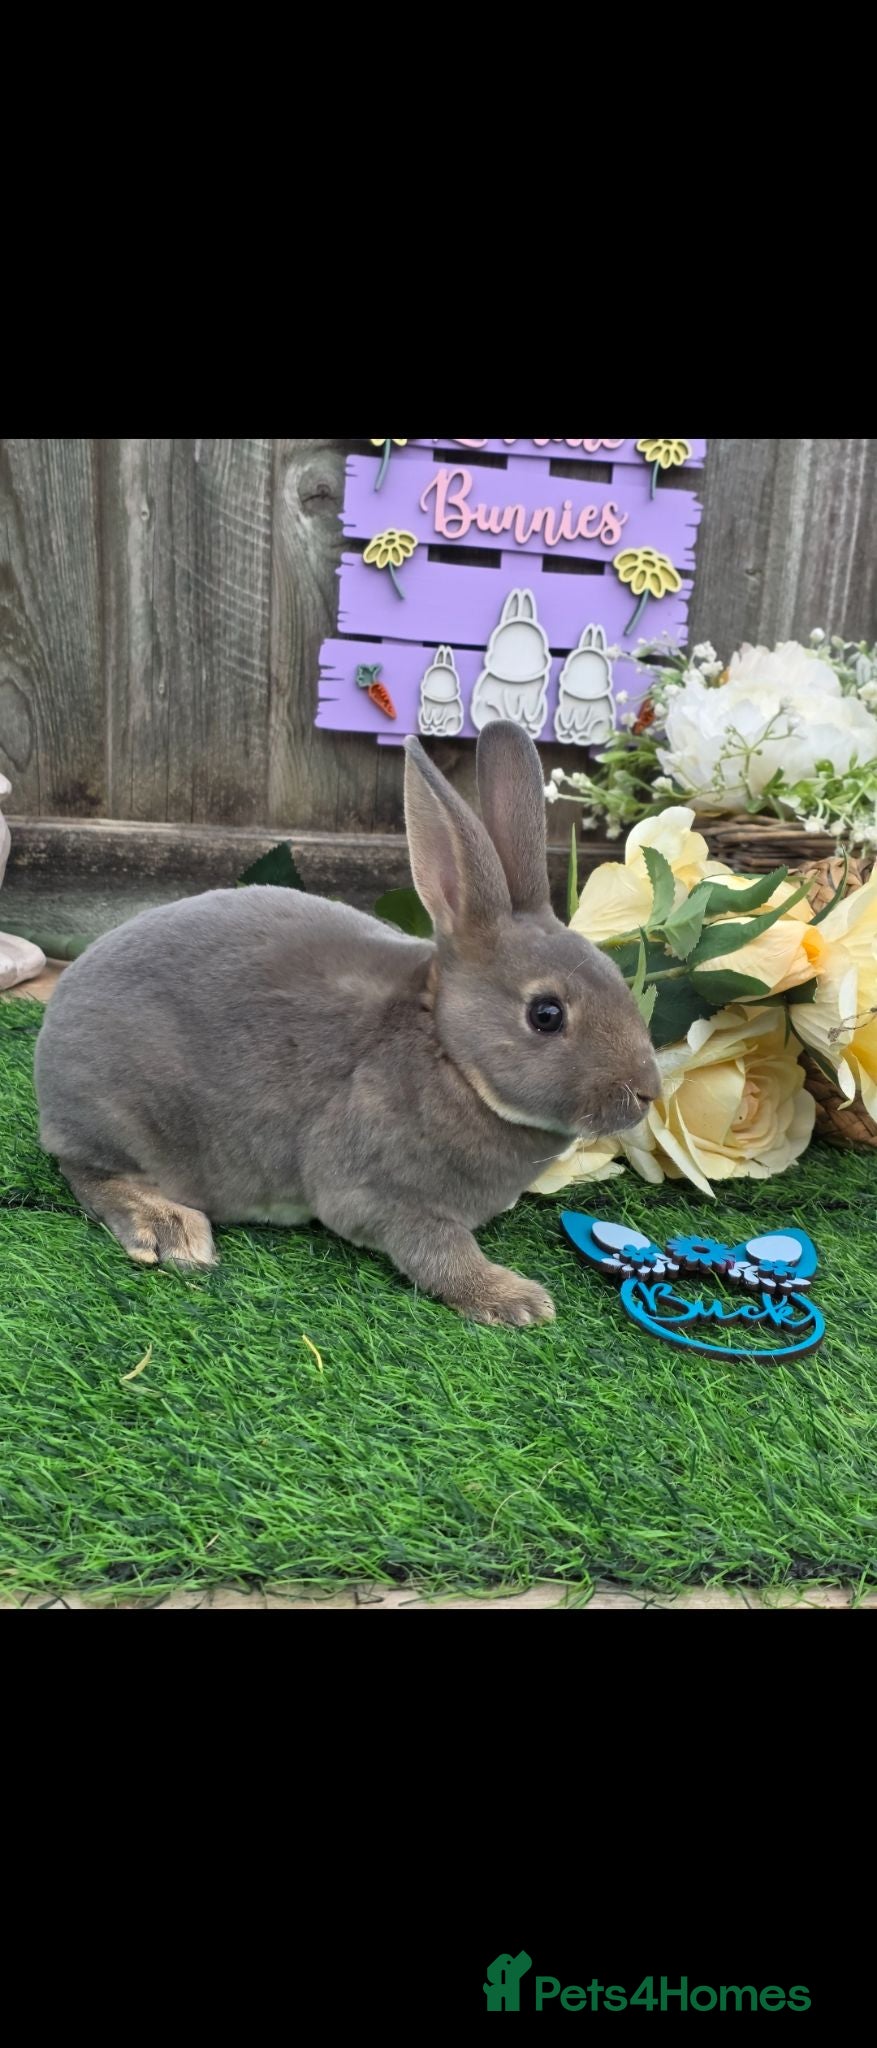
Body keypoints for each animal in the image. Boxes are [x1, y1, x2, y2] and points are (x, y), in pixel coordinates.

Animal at [34, 723, 660, 1327]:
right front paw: (514, 1300)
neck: (449, 1054)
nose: (647, 1093)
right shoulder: (382, 1193)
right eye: (546, 1014)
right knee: (89, 1175)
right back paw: (172, 1232)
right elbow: (439, 1250)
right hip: (118, 1116)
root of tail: (59, 1017)